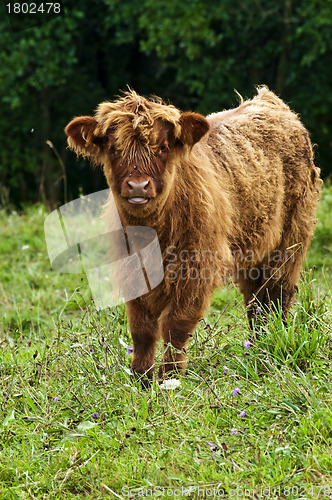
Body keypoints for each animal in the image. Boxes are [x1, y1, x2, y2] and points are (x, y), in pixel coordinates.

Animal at [65, 88, 322, 378]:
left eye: (163, 147)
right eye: (113, 149)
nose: (138, 185)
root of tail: (269, 100)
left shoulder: (196, 268)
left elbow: (175, 324)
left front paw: (169, 376)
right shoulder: (132, 270)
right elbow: (141, 328)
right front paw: (141, 375)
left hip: (291, 239)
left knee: (279, 294)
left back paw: (274, 342)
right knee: (256, 301)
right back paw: (259, 346)